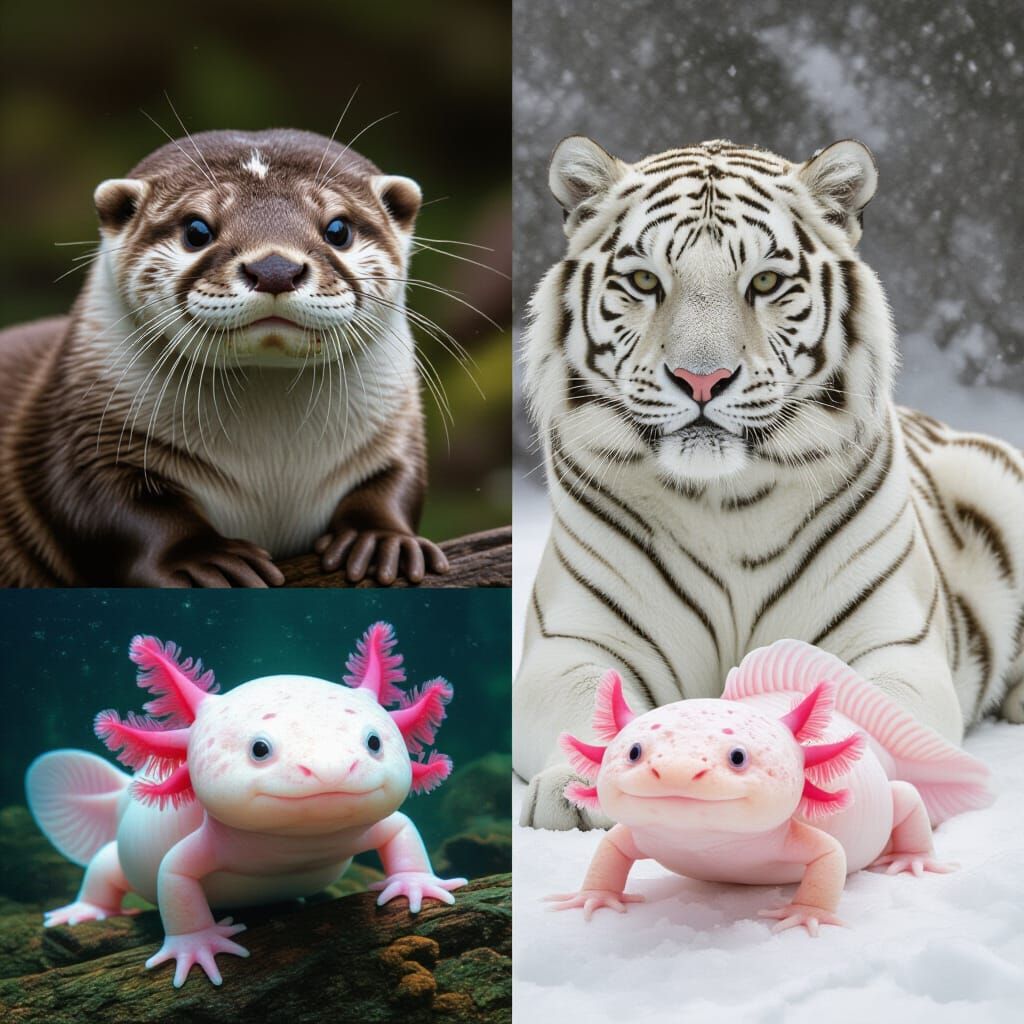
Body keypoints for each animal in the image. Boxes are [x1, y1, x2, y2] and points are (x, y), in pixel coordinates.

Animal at [0, 129, 450, 587]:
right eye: (197, 230)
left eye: (338, 229)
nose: (274, 268)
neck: (275, 466)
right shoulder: (86, 436)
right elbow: (109, 504)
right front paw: (199, 558)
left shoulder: (397, 427)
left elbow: (397, 479)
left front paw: (379, 539)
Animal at [514, 135, 1024, 830]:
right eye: (645, 280)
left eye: (765, 282)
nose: (701, 379)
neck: (725, 501)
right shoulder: (573, 643)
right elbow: (592, 706)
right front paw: (575, 791)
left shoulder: (893, 648)